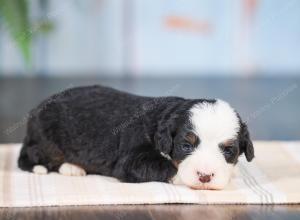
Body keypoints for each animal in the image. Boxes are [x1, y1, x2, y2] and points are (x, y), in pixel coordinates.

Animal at [18, 85, 253, 190]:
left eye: (228, 150)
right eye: (186, 146)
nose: (205, 177)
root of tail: (35, 110)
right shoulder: (132, 160)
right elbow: (165, 166)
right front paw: (180, 177)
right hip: (45, 141)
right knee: (27, 156)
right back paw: (58, 167)